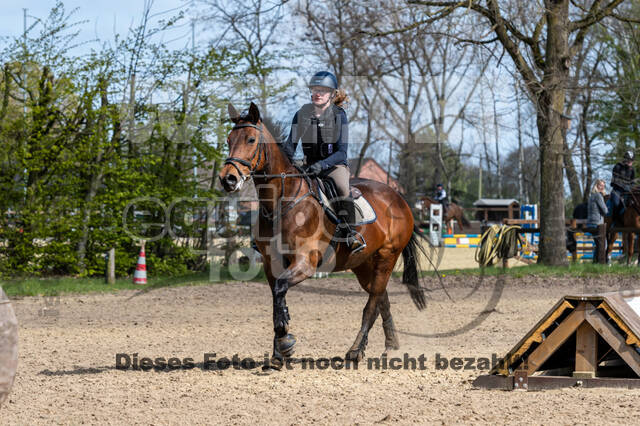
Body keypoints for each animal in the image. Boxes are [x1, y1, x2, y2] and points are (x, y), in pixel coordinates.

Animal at [218, 103, 428, 366]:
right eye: (229, 140)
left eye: (251, 139)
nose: (227, 179)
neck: (281, 201)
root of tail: (399, 198)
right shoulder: (270, 264)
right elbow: (277, 297)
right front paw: (279, 351)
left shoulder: (305, 262)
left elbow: (280, 290)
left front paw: (285, 342)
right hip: (363, 264)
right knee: (381, 298)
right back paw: (390, 345)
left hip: (387, 257)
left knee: (371, 305)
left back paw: (355, 350)